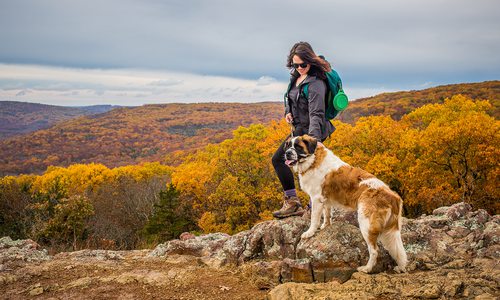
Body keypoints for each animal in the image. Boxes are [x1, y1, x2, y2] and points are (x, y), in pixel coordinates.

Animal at [284, 135, 408, 274]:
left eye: (298, 147)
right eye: (288, 146)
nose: (287, 153)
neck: (313, 160)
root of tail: (393, 196)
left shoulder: (316, 198)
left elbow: (314, 219)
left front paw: (309, 232)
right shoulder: (325, 199)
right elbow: (327, 213)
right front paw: (326, 225)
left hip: (365, 223)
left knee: (375, 250)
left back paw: (366, 268)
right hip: (392, 232)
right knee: (399, 251)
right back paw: (400, 267)